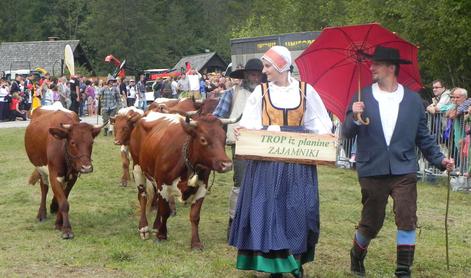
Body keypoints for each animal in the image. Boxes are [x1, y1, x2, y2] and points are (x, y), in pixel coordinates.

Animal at [24, 104, 104, 239]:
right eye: (73, 142)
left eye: (91, 142)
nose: (86, 167)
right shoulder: (53, 174)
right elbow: (64, 203)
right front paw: (66, 229)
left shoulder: (73, 176)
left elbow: (64, 198)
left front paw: (59, 223)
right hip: (41, 169)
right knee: (44, 188)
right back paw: (41, 214)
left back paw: (53, 206)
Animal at [129, 112, 238, 249]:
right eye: (203, 139)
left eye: (224, 138)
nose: (227, 165)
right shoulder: (163, 185)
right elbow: (165, 211)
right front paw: (162, 236)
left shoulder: (202, 188)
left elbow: (195, 216)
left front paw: (196, 243)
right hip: (137, 168)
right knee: (142, 197)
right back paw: (144, 228)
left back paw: (156, 226)